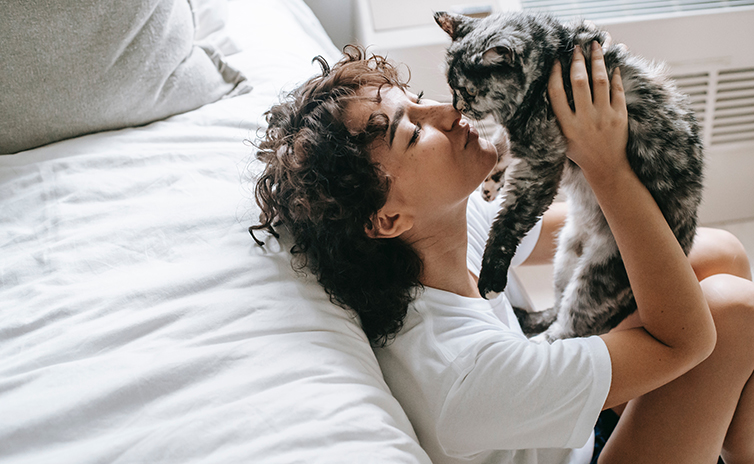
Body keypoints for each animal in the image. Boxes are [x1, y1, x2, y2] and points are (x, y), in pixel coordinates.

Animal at [434, 10, 704, 340]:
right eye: (451, 86)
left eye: (469, 91)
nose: (457, 107)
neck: (554, 55)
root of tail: (685, 245)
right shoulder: (524, 137)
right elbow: (499, 145)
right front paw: (490, 185)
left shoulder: (541, 163)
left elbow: (507, 223)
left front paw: (491, 278)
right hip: (565, 255)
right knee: (559, 306)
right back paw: (531, 319)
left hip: (597, 277)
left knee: (569, 328)